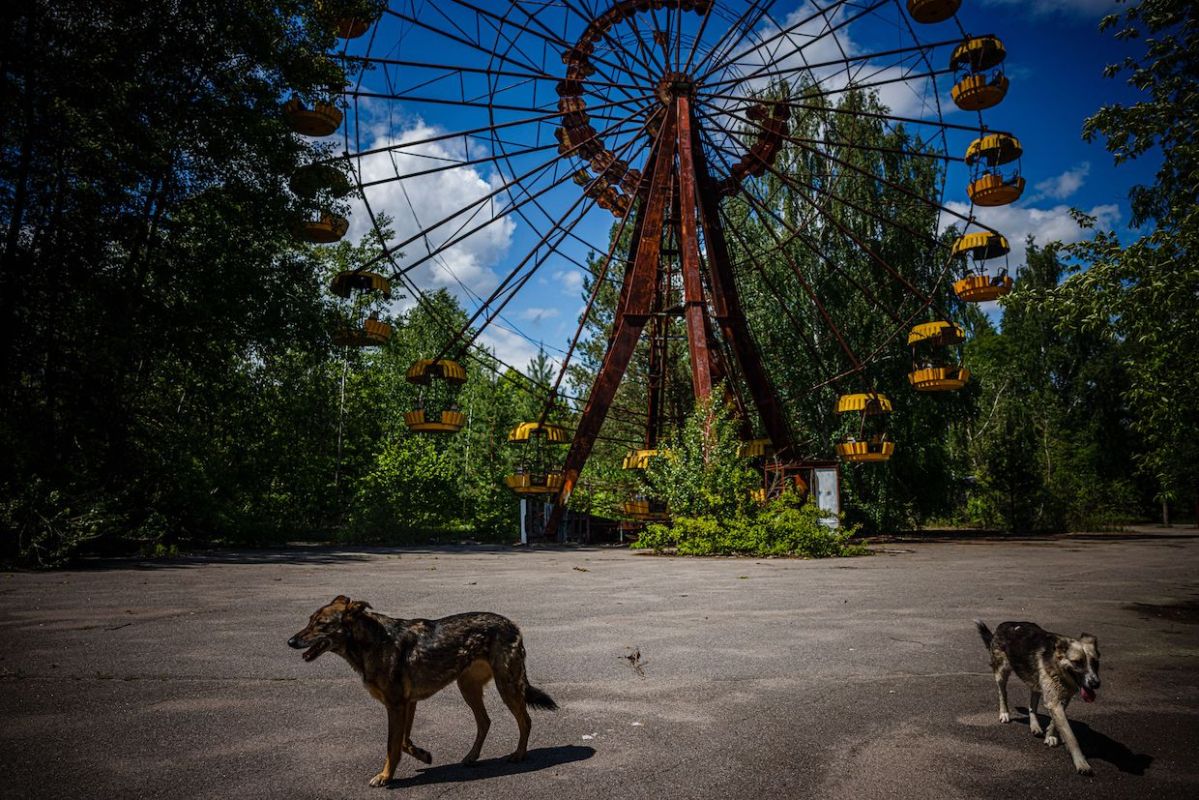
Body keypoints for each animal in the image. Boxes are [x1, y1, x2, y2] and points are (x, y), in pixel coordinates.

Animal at [290, 597, 556, 786]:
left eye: (321, 624)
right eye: (309, 620)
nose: (290, 641)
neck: (372, 642)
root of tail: (512, 624)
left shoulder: (396, 705)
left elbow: (392, 745)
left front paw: (386, 777)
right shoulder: (407, 703)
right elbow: (403, 742)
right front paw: (422, 755)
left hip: (506, 686)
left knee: (525, 720)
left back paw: (519, 754)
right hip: (468, 687)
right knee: (485, 721)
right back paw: (472, 756)